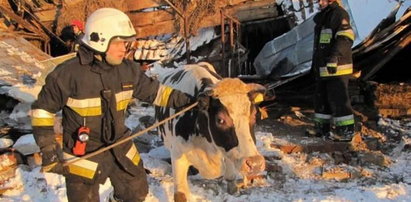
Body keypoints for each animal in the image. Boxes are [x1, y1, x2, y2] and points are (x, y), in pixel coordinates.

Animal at [155, 62, 268, 201]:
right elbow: (181, 195)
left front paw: (234, 191)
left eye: (253, 116)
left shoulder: (228, 151)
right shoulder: (177, 156)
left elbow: (230, 177)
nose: (255, 163)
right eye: (220, 120)